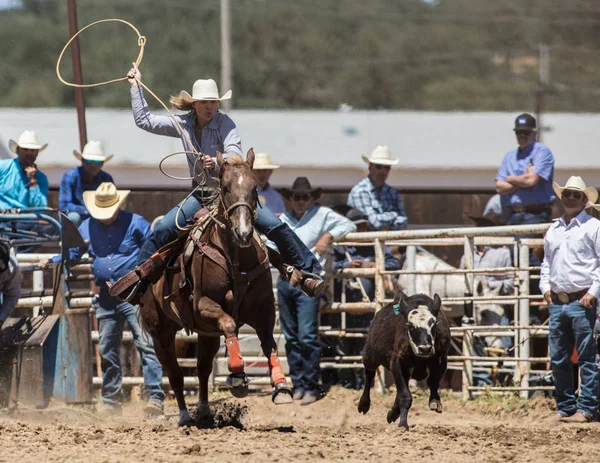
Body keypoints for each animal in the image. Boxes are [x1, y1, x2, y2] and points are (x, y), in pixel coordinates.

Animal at [139, 149, 292, 428]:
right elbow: (230, 324)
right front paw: (238, 376)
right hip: (160, 332)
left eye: (254, 188)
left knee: (201, 371)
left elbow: (269, 344)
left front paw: (281, 385)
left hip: (206, 333)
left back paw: (203, 411)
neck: (235, 259)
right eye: (225, 187)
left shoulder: (265, 310)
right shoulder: (204, 306)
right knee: (175, 374)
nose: (243, 232)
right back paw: (185, 416)